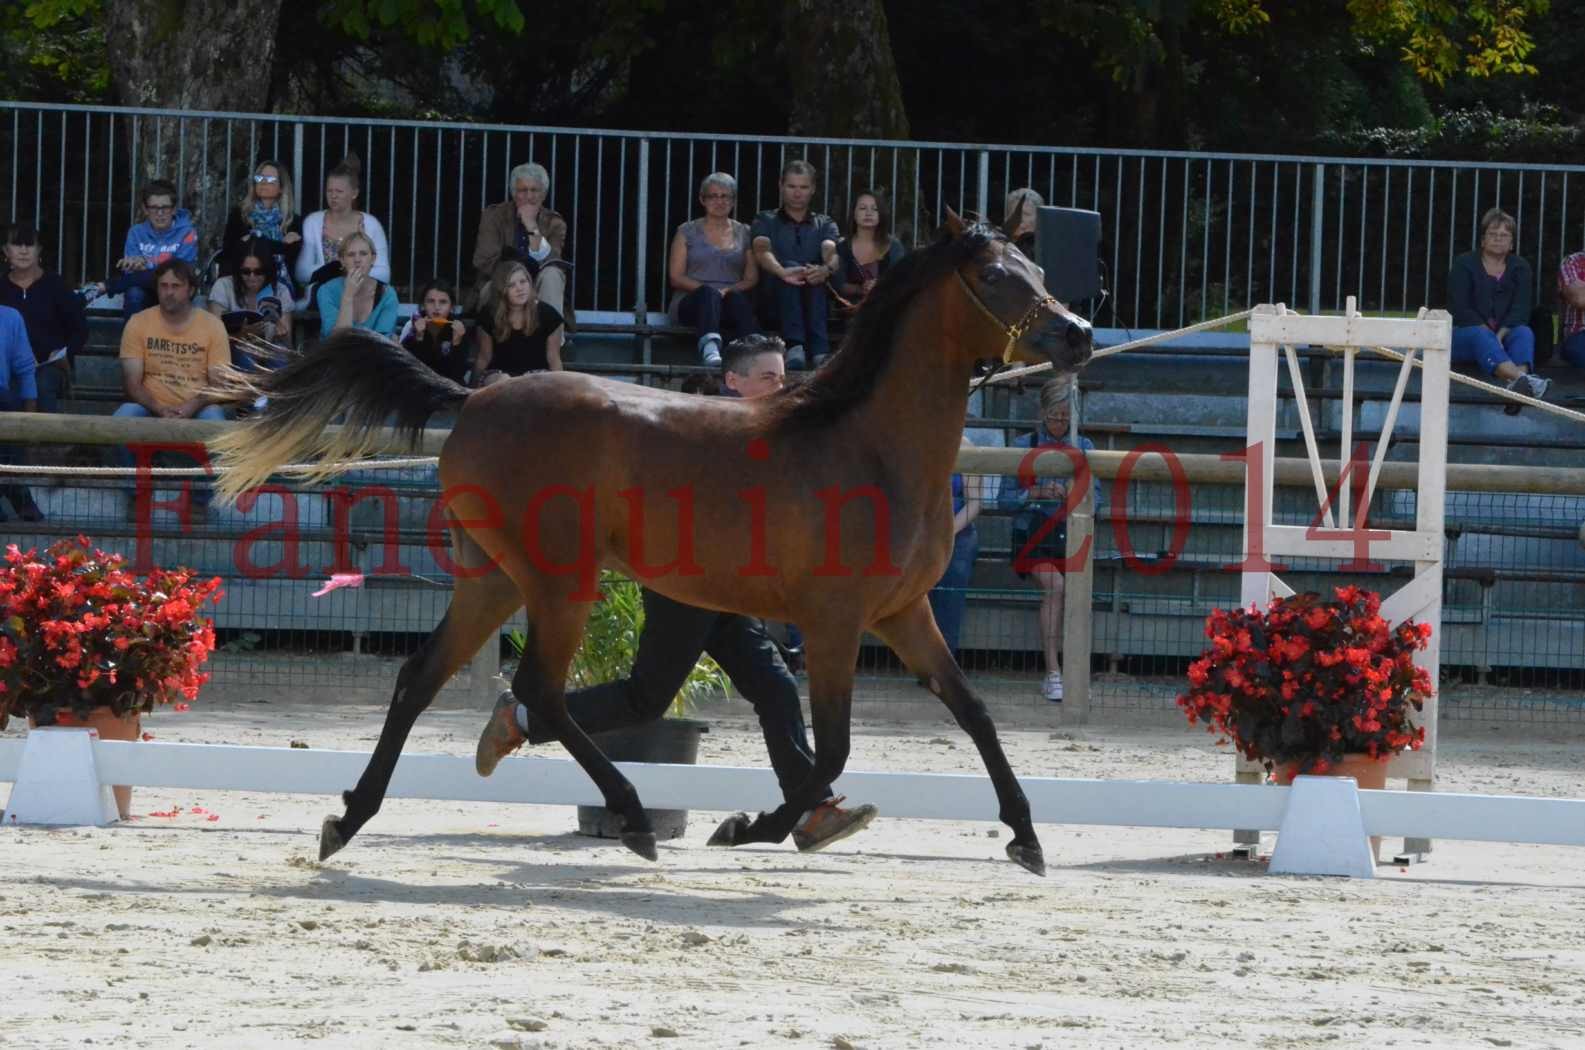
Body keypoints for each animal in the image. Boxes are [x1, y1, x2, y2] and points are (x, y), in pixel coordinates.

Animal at [210, 209, 1090, 875]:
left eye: (1038, 267)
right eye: (995, 276)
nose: (1079, 333)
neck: (867, 445)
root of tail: (472, 399)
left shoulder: (905, 614)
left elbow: (972, 712)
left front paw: (1025, 837)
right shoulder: (835, 624)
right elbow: (833, 750)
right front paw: (749, 826)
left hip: (493, 580)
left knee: (424, 679)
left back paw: (349, 818)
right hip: (556, 583)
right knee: (540, 692)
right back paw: (631, 818)